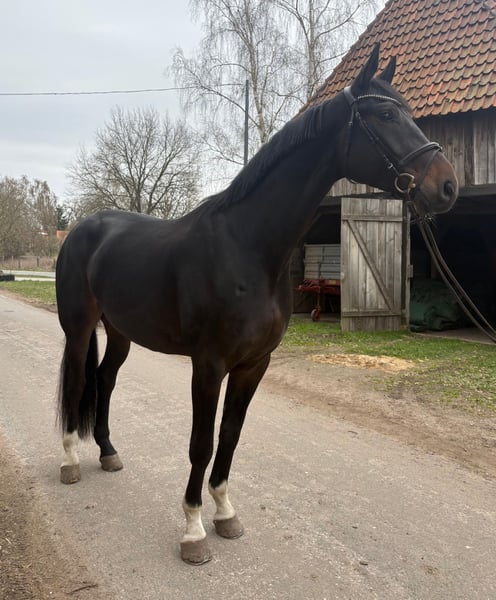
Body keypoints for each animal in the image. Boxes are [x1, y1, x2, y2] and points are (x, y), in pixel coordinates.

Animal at [55, 44, 458, 565]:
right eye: (387, 115)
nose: (446, 186)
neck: (247, 248)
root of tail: (83, 229)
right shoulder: (208, 364)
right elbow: (201, 443)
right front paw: (193, 531)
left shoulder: (254, 364)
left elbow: (230, 436)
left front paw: (225, 514)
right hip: (79, 325)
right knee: (77, 380)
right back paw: (69, 460)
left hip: (121, 331)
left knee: (105, 380)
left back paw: (107, 452)